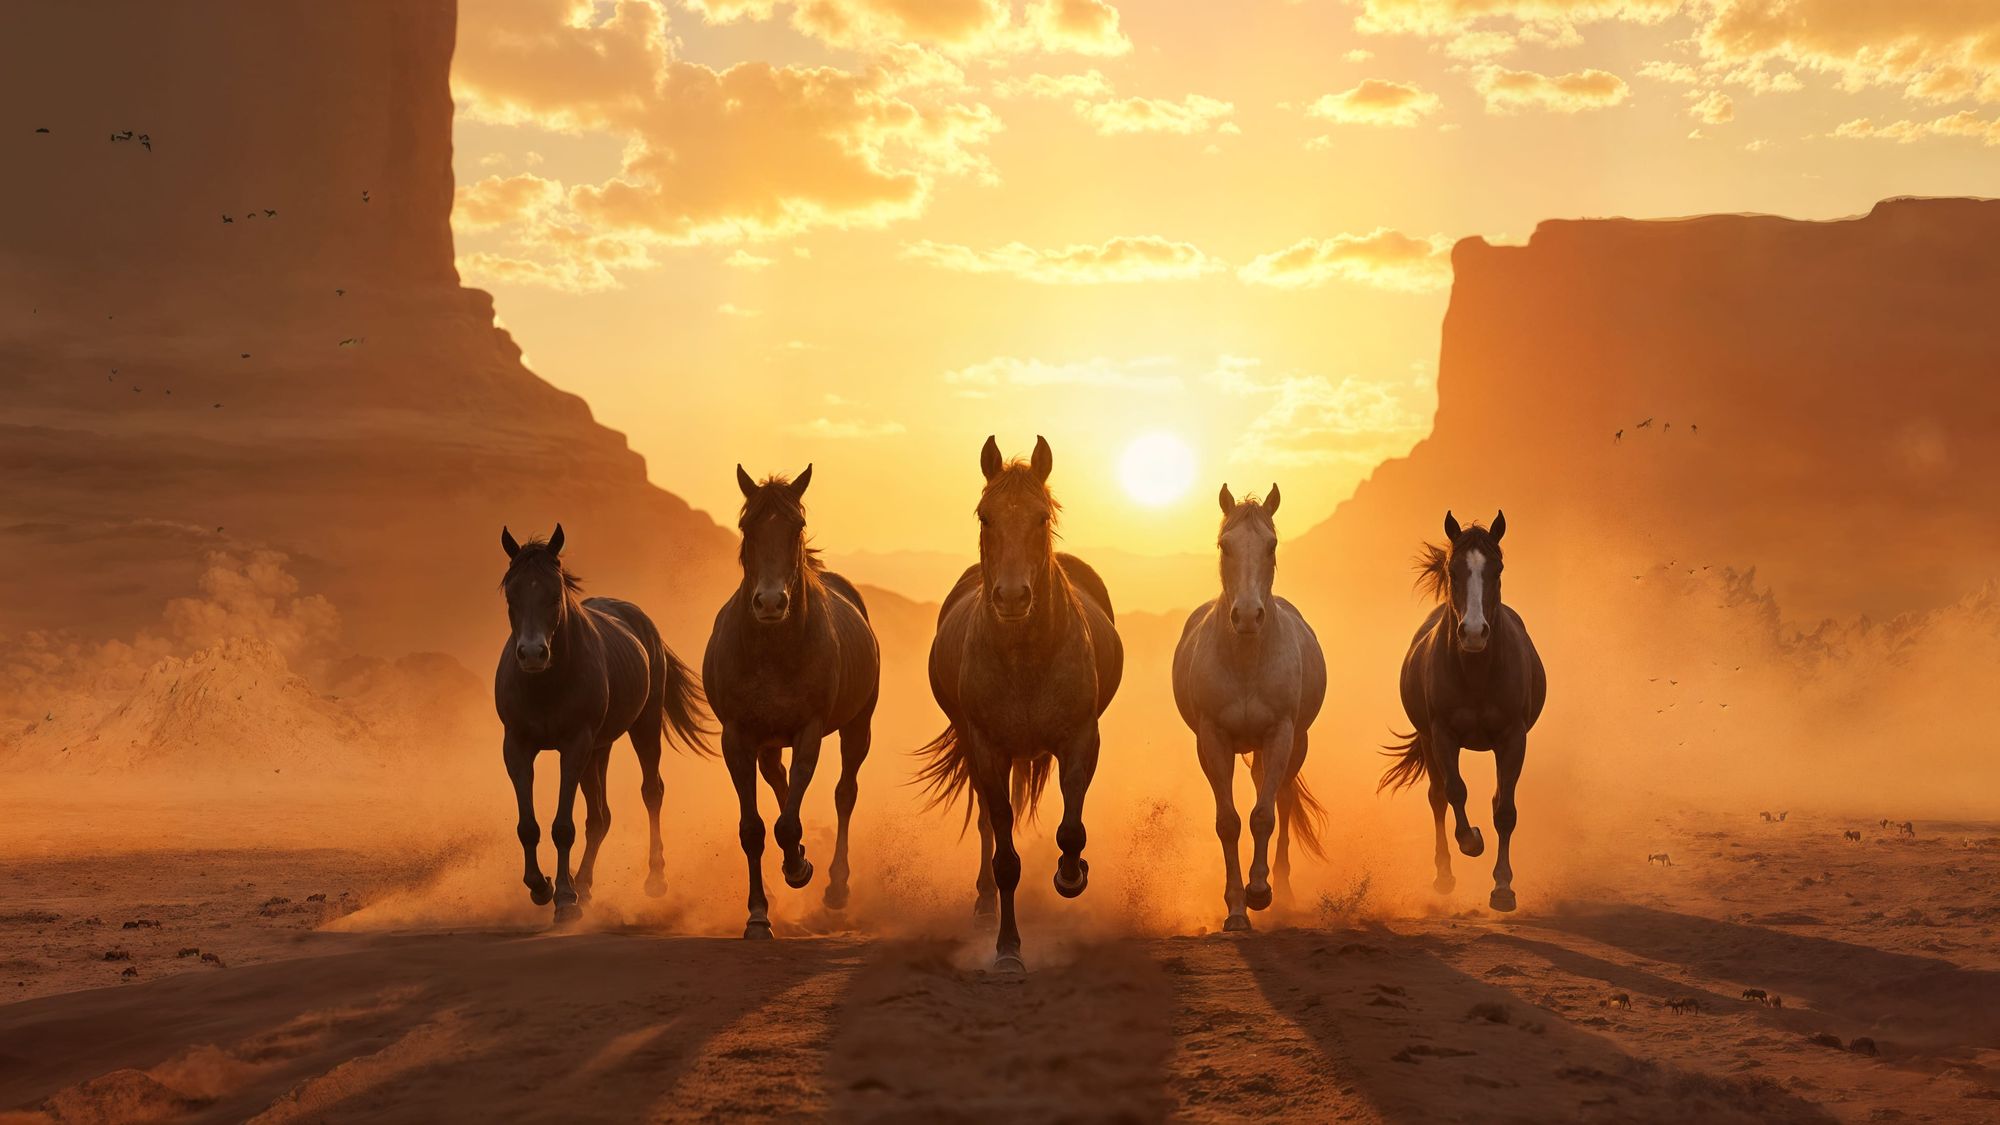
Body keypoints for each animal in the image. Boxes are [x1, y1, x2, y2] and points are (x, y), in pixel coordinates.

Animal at [494, 525, 711, 923]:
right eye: (511, 596)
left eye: (555, 595)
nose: (532, 654)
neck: (545, 682)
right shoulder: (516, 747)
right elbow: (528, 826)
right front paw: (540, 886)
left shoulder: (574, 746)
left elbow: (563, 827)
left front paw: (564, 898)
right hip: (599, 749)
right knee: (600, 817)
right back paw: (584, 885)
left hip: (643, 727)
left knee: (651, 792)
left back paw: (652, 879)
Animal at [703, 466, 881, 939]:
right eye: (747, 526)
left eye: (796, 526)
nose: (769, 602)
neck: (772, 652)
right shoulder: (737, 737)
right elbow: (754, 829)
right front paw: (758, 915)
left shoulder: (809, 730)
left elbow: (787, 821)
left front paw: (799, 869)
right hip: (767, 741)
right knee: (777, 778)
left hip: (858, 726)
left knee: (845, 793)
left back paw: (835, 888)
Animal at [916, 436, 1123, 972]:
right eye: (985, 516)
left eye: (1041, 517)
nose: (1011, 598)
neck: (1026, 657)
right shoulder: (988, 751)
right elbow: (1004, 855)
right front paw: (1008, 949)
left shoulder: (1081, 740)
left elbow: (1071, 827)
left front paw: (1071, 875)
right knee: (990, 825)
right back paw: (984, 907)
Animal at [1171, 483, 1327, 932]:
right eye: (1225, 545)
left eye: (1271, 545)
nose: (1246, 615)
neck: (1244, 661)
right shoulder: (1213, 740)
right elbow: (1229, 822)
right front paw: (1236, 909)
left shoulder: (1280, 734)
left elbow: (1264, 816)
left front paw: (1259, 892)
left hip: (1294, 745)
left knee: (1282, 801)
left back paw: (1283, 890)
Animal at [1380, 511, 1547, 912]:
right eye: (1453, 570)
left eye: (1497, 569)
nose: (1473, 633)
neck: (1476, 672)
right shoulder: (1442, 735)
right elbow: (1455, 792)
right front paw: (1472, 840)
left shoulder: (1513, 738)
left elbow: (1505, 811)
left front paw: (1503, 888)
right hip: (1428, 741)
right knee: (1438, 798)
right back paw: (1444, 875)